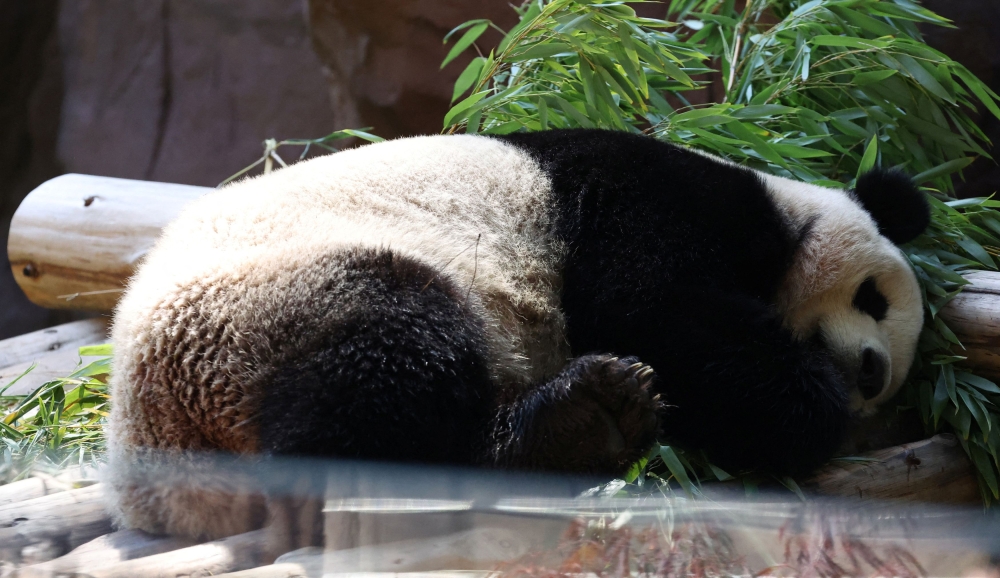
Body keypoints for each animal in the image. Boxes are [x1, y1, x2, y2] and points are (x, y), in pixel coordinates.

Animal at [103, 128, 928, 536]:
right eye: (875, 299)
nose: (872, 373)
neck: (785, 211)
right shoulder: (647, 198)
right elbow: (650, 306)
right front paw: (808, 408)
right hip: (280, 300)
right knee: (390, 363)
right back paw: (569, 427)